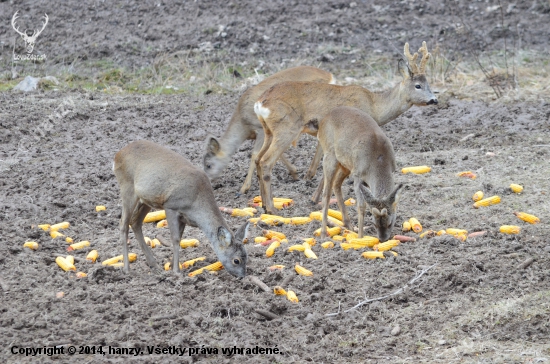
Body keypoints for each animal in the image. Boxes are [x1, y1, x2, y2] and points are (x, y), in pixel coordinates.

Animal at [114, 141, 250, 278]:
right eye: (236, 260)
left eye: (247, 256)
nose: (242, 276)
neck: (196, 203)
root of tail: (117, 155)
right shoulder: (170, 206)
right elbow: (175, 239)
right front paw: (177, 272)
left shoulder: (184, 217)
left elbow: (179, 239)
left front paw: (172, 266)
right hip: (127, 187)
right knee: (123, 224)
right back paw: (127, 269)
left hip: (145, 199)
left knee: (135, 222)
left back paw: (154, 265)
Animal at [203, 66, 332, 195]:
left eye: (208, 165)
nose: (207, 180)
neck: (243, 124)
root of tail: (330, 76)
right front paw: (294, 172)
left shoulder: (260, 129)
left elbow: (255, 154)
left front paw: (244, 188)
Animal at [256, 41, 440, 215]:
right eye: (418, 85)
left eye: (428, 84)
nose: (434, 100)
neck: (374, 106)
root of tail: (260, 102)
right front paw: (315, 199)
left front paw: (314, 198)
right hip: (286, 128)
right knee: (266, 161)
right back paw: (272, 209)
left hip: (269, 132)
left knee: (257, 158)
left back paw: (264, 205)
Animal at [320, 106, 406, 240]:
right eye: (374, 223)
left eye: (390, 223)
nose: (382, 239)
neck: (379, 161)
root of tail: (322, 122)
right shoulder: (358, 175)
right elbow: (361, 206)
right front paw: (360, 237)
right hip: (329, 156)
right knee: (326, 193)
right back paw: (324, 233)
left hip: (346, 164)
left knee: (336, 184)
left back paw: (350, 226)